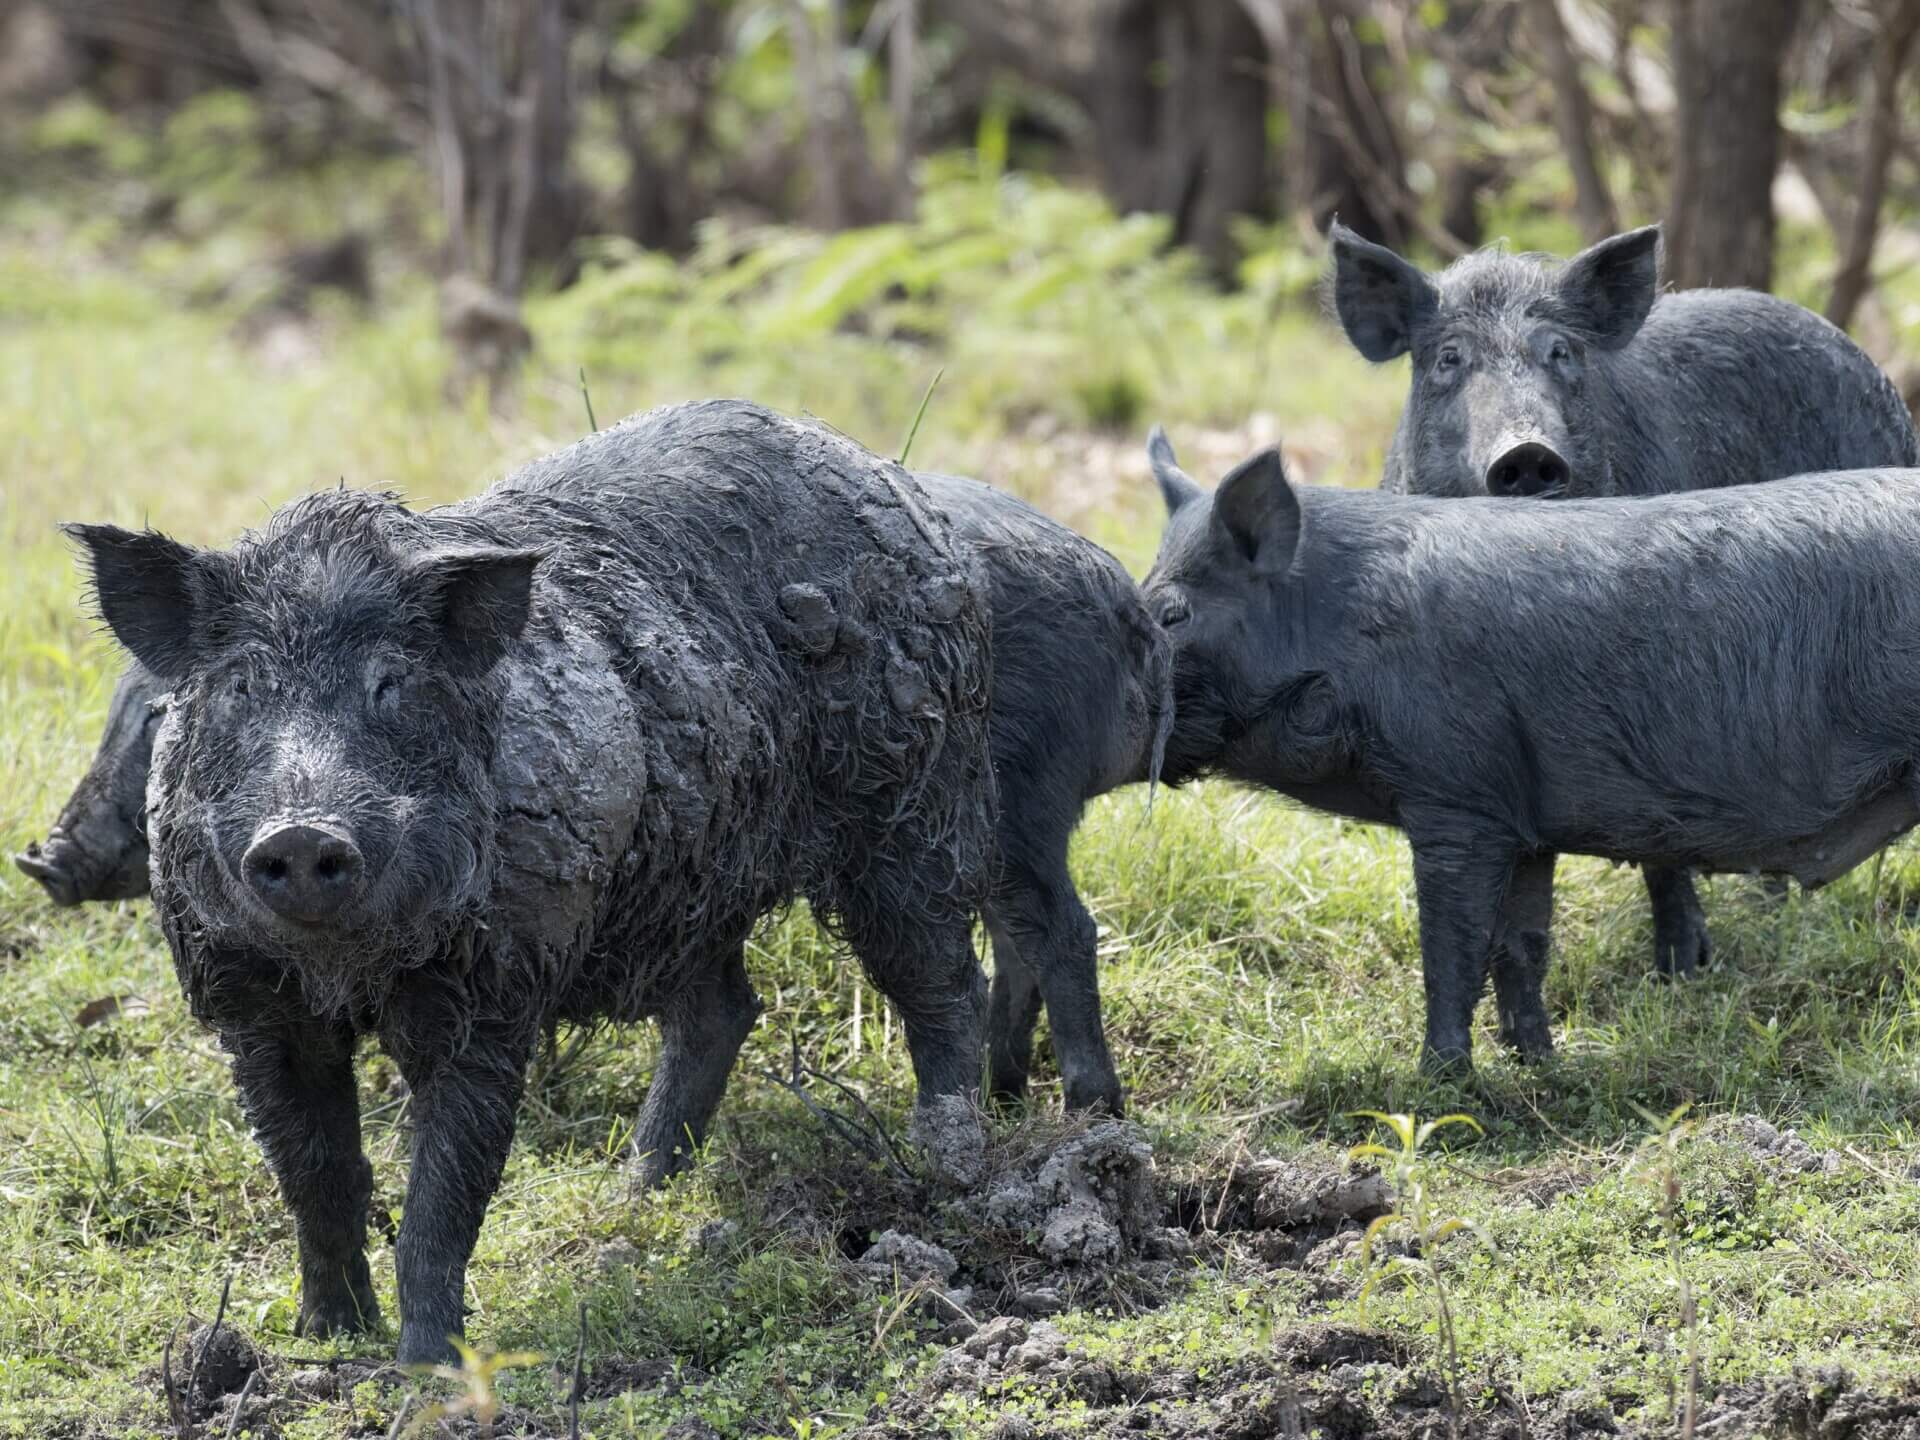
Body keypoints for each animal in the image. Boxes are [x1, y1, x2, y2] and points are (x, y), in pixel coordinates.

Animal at [64, 399, 998, 1363]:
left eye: (391, 684)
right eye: (241, 686)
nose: (302, 831)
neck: (346, 974)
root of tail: (893, 483)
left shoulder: (494, 993)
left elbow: (445, 1196)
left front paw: (428, 1367)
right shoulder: (250, 1004)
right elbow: (317, 1178)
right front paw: (326, 1338)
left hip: (910, 802)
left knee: (943, 979)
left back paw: (951, 1169)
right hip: (693, 883)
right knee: (724, 1009)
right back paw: (638, 1194)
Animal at [1144, 430, 1920, 1073]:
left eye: (1171, 615)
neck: (1340, 635)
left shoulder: (1456, 799)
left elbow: (1450, 949)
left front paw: (1442, 1082)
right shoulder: (1526, 825)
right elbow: (1520, 948)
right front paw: (1537, 1065)